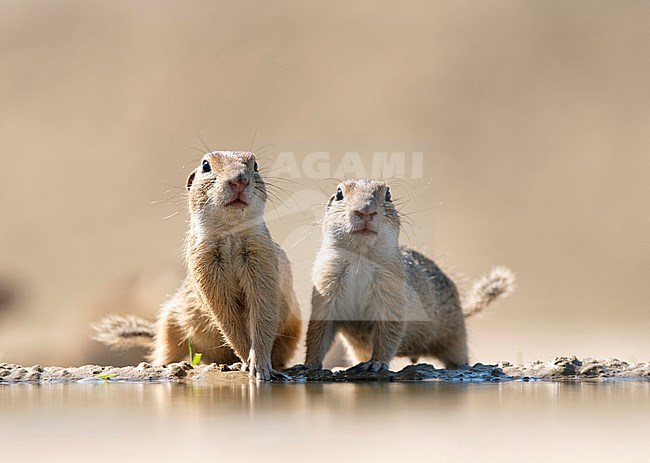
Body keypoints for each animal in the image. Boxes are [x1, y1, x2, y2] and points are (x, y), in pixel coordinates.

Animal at [94, 152, 302, 380]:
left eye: (255, 165)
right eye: (205, 166)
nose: (239, 180)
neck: (230, 234)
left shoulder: (263, 261)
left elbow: (263, 313)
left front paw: (261, 366)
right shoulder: (205, 266)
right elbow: (227, 318)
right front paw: (248, 362)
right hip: (170, 326)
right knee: (166, 352)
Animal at [302, 179, 512, 372]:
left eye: (388, 195)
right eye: (339, 193)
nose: (365, 211)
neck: (360, 259)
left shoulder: (392, 295)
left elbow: (388, 332)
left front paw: (377, 363)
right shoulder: (326, 289)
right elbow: (317, 333)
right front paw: (309, 365)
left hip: (455, 334)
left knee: (458, 354)